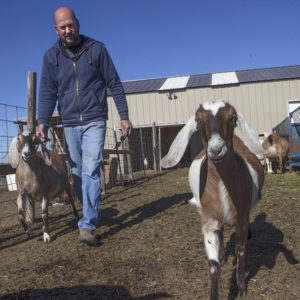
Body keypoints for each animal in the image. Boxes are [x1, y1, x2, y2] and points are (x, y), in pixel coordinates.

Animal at [161, 101, 266, 300]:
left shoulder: (242, 219)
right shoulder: (209, 221)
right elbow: (213, 266)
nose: (217, 150)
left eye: (233, 118)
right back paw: (223, 254)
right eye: (198, 120)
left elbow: (241, 251)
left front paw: (241, 287)